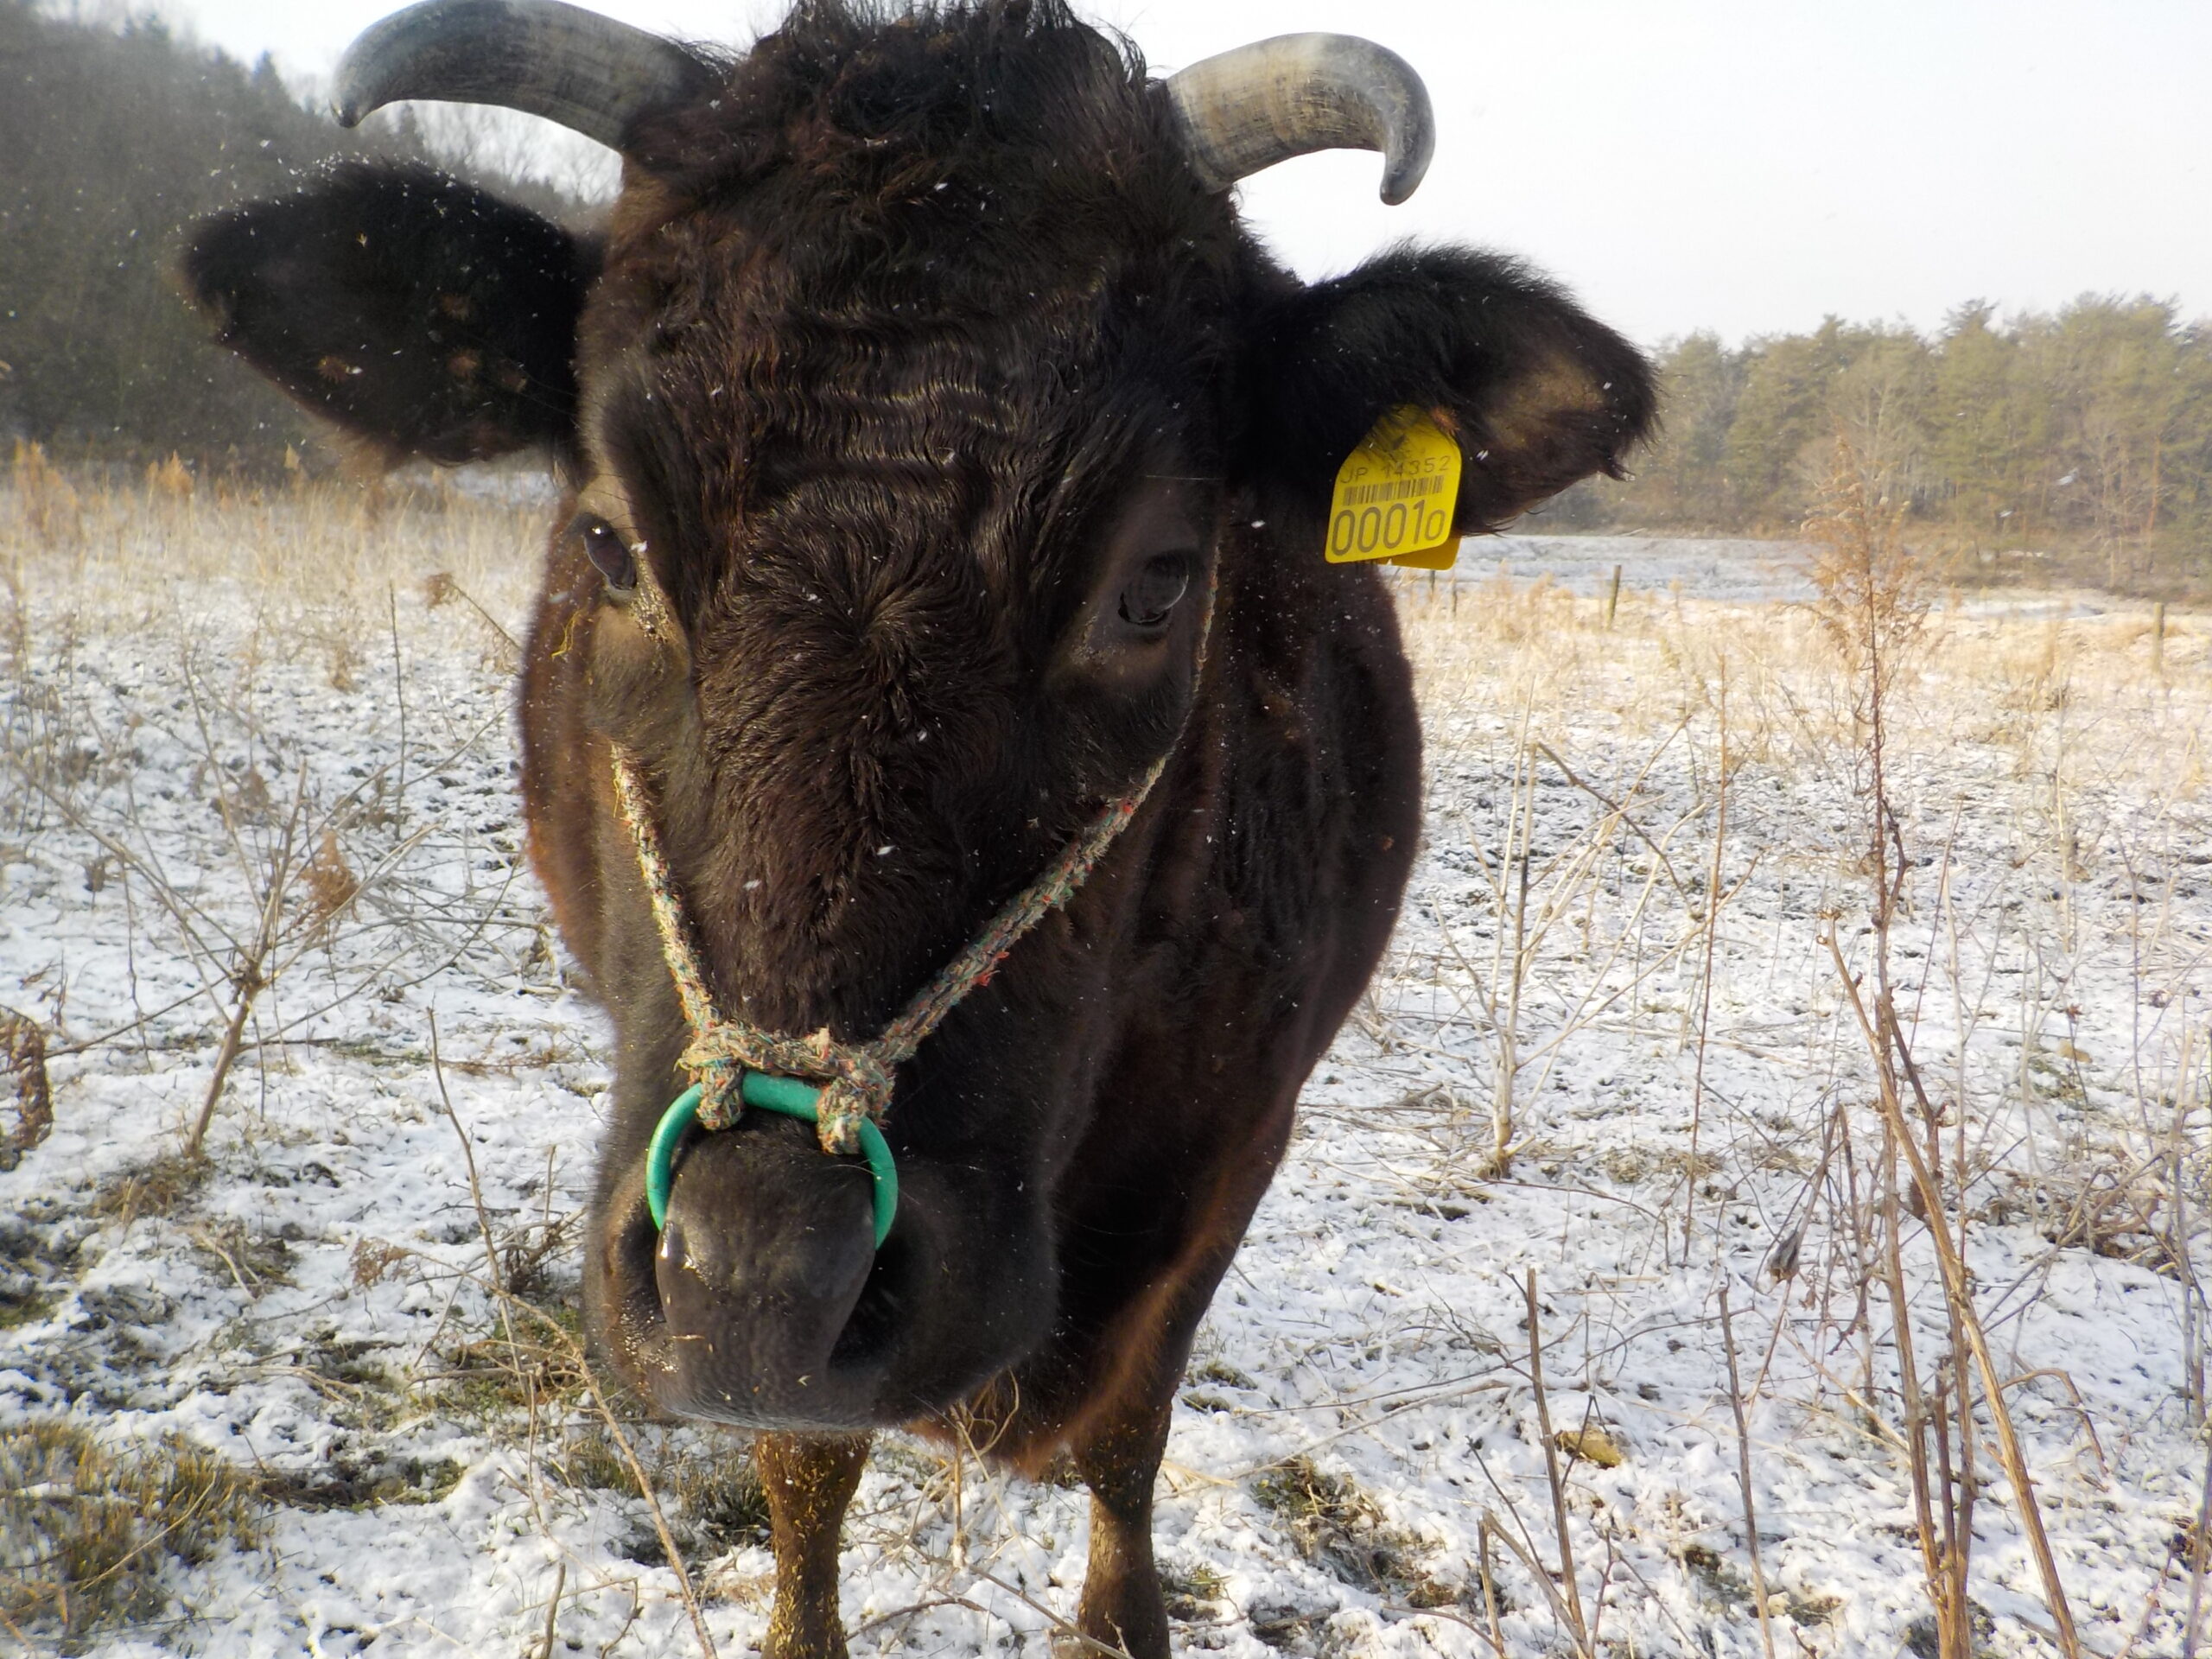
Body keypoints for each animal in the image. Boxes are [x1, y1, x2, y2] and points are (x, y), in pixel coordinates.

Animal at [181, 6, 1654, 1654]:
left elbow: (1129, 1435)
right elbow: (804, 1468)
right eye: (609, 541)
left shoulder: (1237, 1147)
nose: (765, 1264)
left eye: (1158, 579)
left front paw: (1119, 1620)